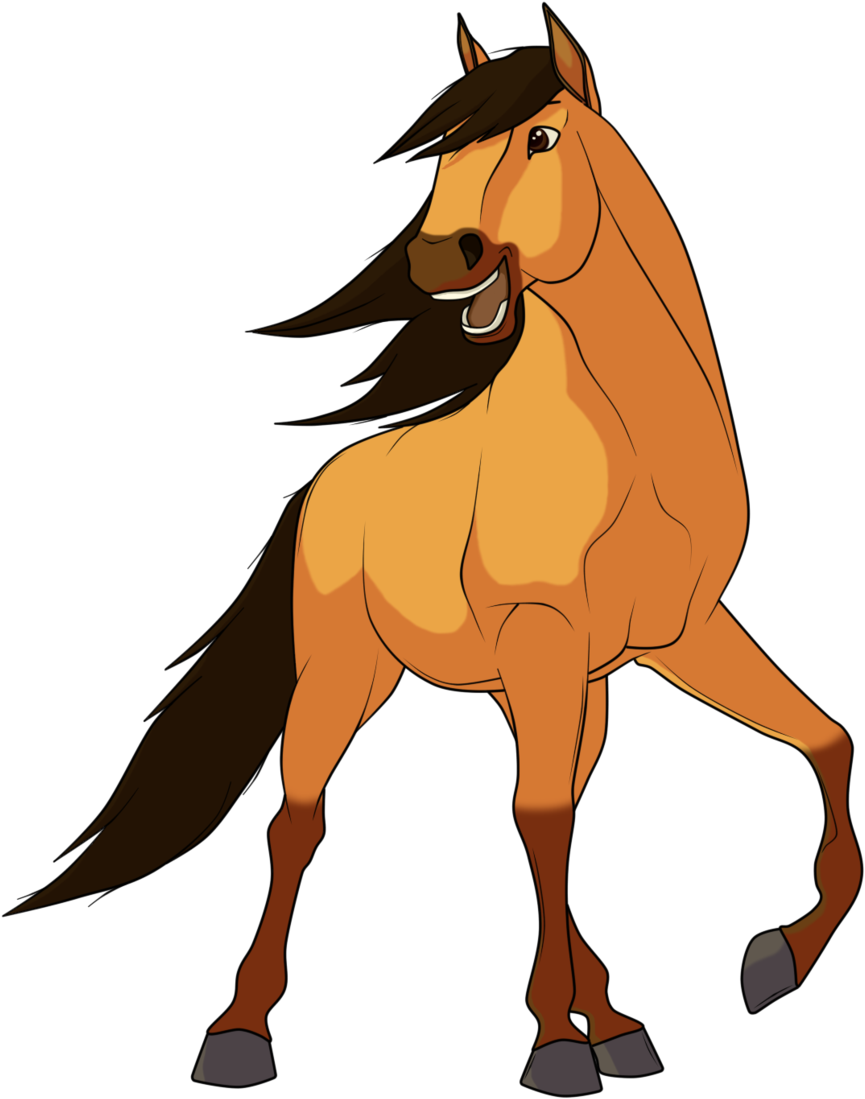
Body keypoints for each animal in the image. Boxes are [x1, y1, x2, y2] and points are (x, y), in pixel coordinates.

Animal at [10, 12, 859, 1094]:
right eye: (447, 152)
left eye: (539, 138)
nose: (437, 257)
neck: (631, 437)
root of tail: (327, 483)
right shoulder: (553, 638)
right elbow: (542, 818)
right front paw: (553, 1049)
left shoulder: (676, 635)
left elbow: (822, 742)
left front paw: (771, 960)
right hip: (351, 672)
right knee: (301, 820)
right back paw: (241, 1035)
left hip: (550, 684)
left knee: (557, 798)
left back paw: (617, 1023)